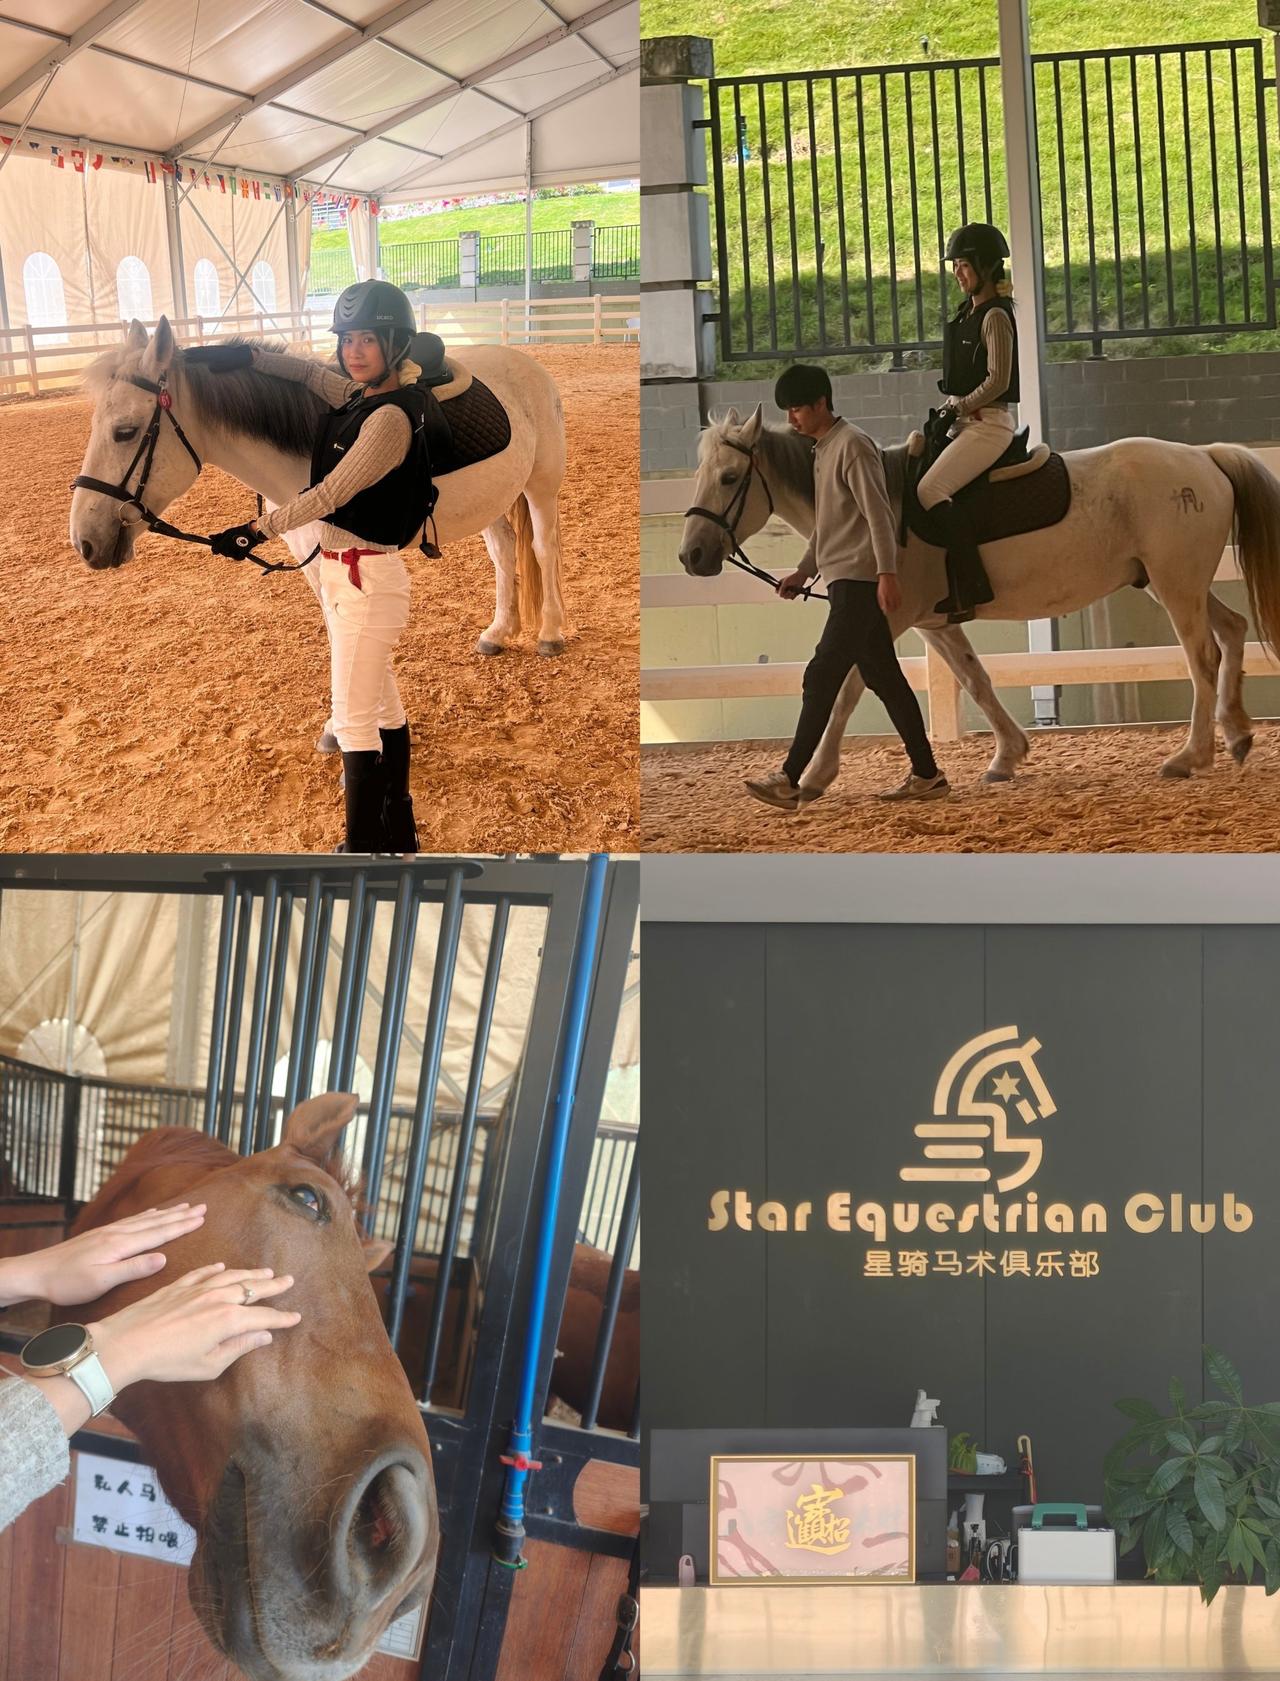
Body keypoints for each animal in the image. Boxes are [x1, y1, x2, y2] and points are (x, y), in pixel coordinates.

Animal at [70, 316, 569, 657]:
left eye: (125, 432)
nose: (84, 542)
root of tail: (527, 365)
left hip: (540, 488)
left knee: (543, 549)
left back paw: (549, 632)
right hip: (494, 501)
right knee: (505, 553)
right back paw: (498, 632)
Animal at [679, 406, 1280, 786]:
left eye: (729, 478)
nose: (692, 556)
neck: (873, 507)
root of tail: (1203, 457)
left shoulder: (884, 618)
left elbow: (847, 687)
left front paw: (817, 774)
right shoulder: (934, 623)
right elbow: (975, 679)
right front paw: (1007, 758)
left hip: (1176, 585)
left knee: (1202, 657)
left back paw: (1191, 756)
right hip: (1171, 583)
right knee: (1231, 631)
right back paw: (1236, 734)